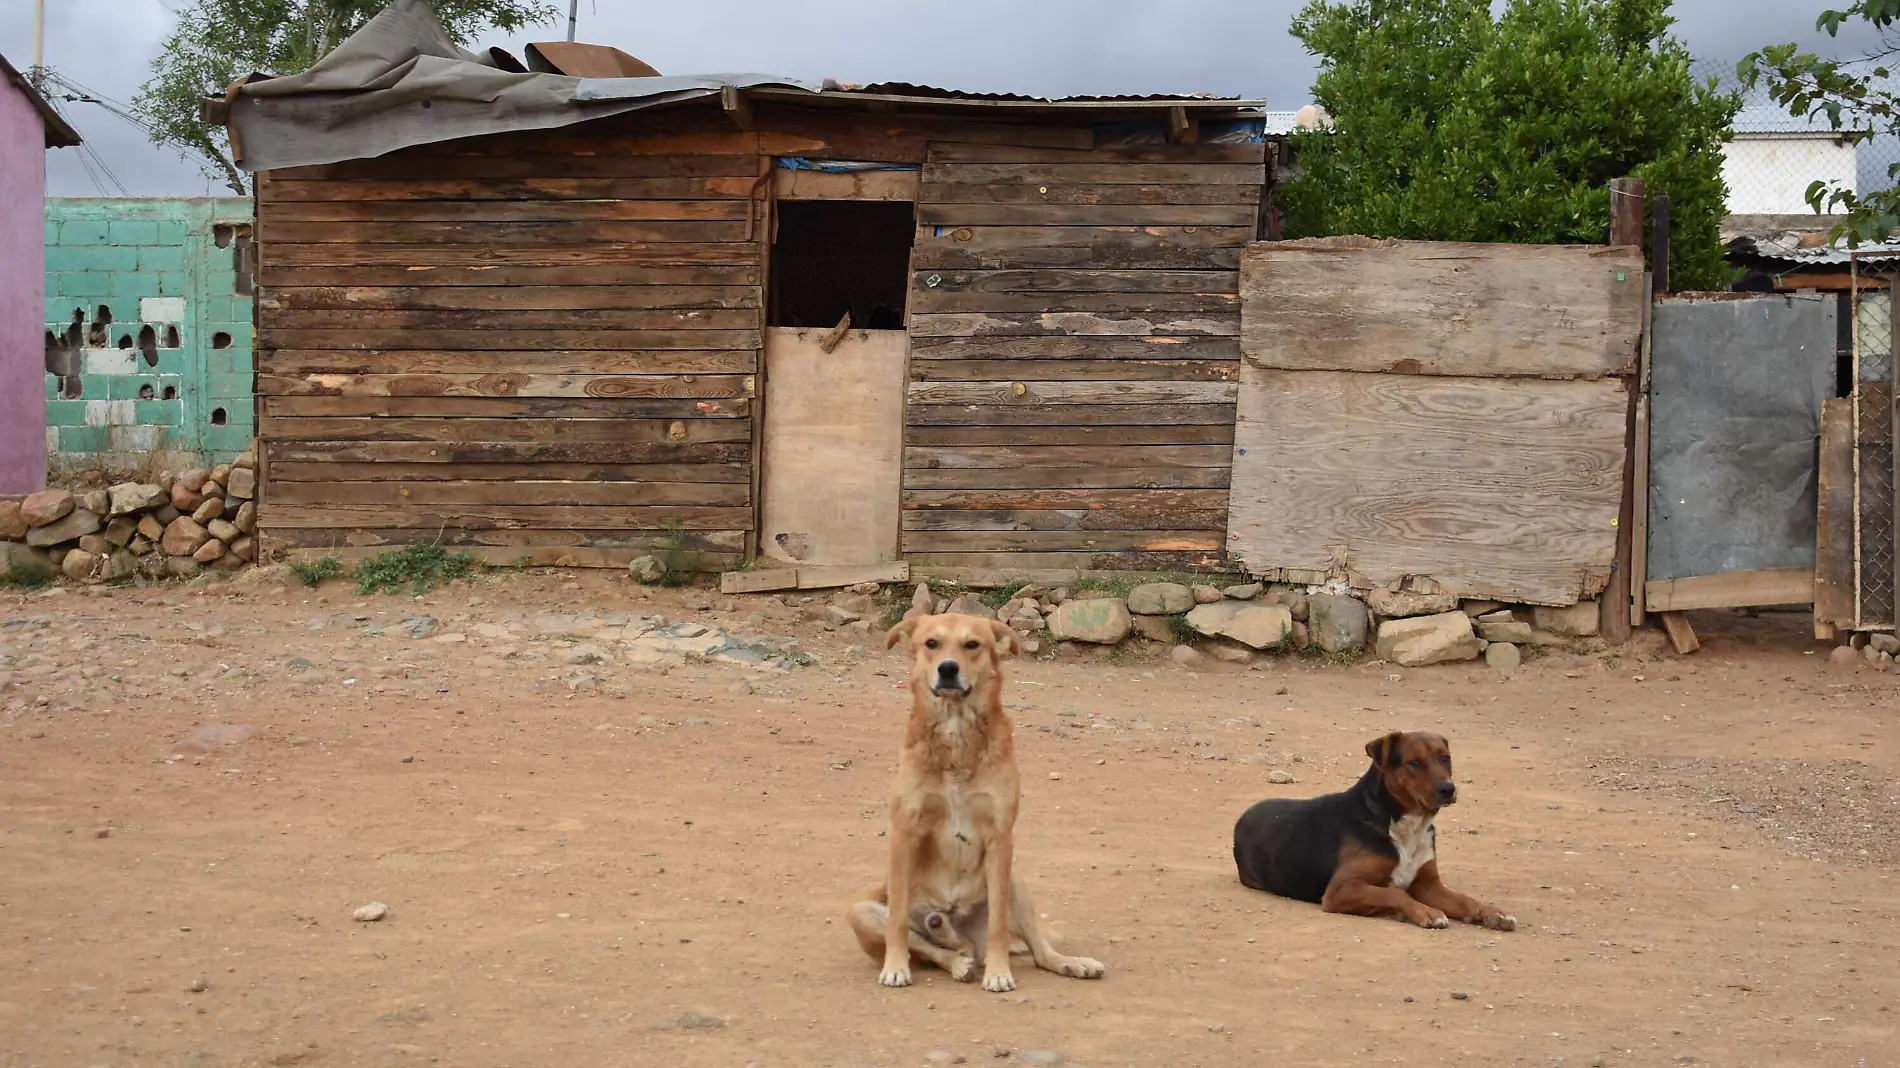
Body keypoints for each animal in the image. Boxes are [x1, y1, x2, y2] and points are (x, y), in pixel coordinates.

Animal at [843, 615, 1109, 988]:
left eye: (972, 645)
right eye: (931, 644)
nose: (948, 668)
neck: (956, 736)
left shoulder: (1001, 836)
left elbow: (999, 923)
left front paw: (998, 973)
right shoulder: (903, 831)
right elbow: (898, 922)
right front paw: (895, 966)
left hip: (1014, 878)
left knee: (1038, 952)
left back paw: (1069, 963)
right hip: (861, 910)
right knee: (932, 949)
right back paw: (953, 957)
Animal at [1231, 725, 1512, 927]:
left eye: (1445, 758)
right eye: (1414, 762)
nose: (1448, 789)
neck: (1404, 826)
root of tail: (1245, 814)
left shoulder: (1429, 885)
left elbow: (1464, 898)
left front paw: (1491, 912)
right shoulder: (1341, 889)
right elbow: (1396, 894)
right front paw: (1425, 912)